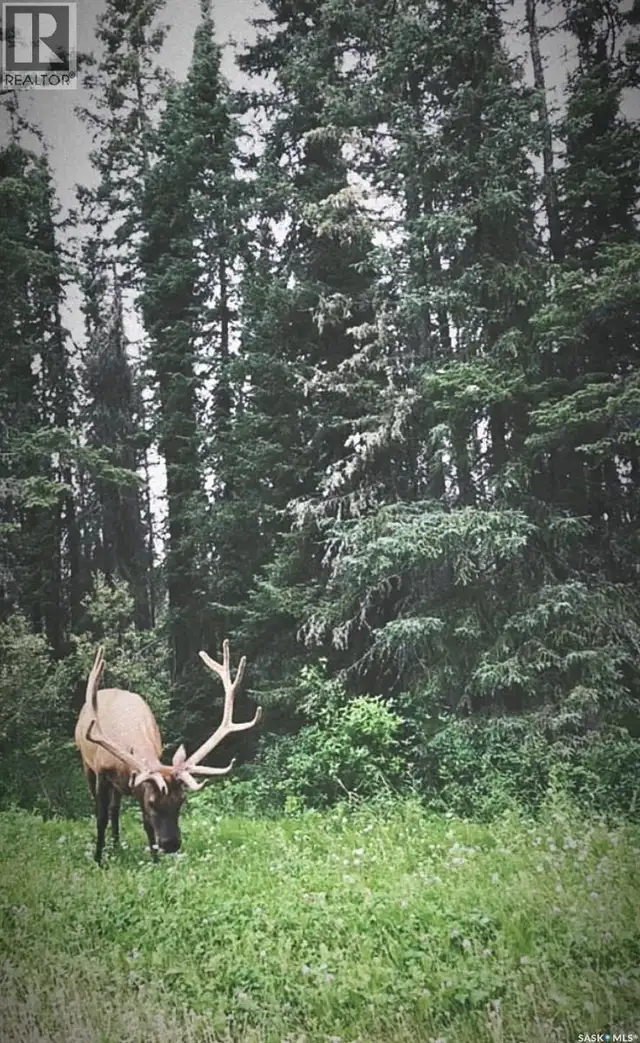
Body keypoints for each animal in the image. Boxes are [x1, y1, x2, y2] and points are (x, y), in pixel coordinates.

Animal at [74, 640, 262, 864]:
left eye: (181, 800)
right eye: (153, 802)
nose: (171, 844)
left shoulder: (138, 783)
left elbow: (146, 823)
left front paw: (155, 861)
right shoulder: (102, 773)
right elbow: (100, 817)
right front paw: (98, 860)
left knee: (115, 809)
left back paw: (118, 845)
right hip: (86, 764)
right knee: (105, 808)